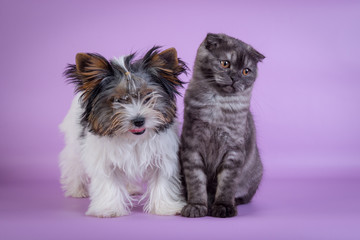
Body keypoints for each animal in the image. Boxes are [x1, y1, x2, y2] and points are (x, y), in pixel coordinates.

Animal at [58, 47, 188, 218]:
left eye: (148, 96)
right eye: (118, 100)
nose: (138, 120)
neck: (133, 138)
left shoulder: (163, 156)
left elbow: (162, 179)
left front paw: (165, 207)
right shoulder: (104, 159)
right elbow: (109, 182)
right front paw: (109, 209)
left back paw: (130, 188)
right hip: (74, 144)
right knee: (73, 165)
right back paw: (77, 190)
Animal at [180, 32, 264, 218]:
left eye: (246, 71)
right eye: (225, 63)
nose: (235, 78)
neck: (217, 106)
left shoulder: (233, 151)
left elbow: (227, 184)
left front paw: (223, 207)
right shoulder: (192, 146)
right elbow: (196, 181)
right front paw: (196, 206)